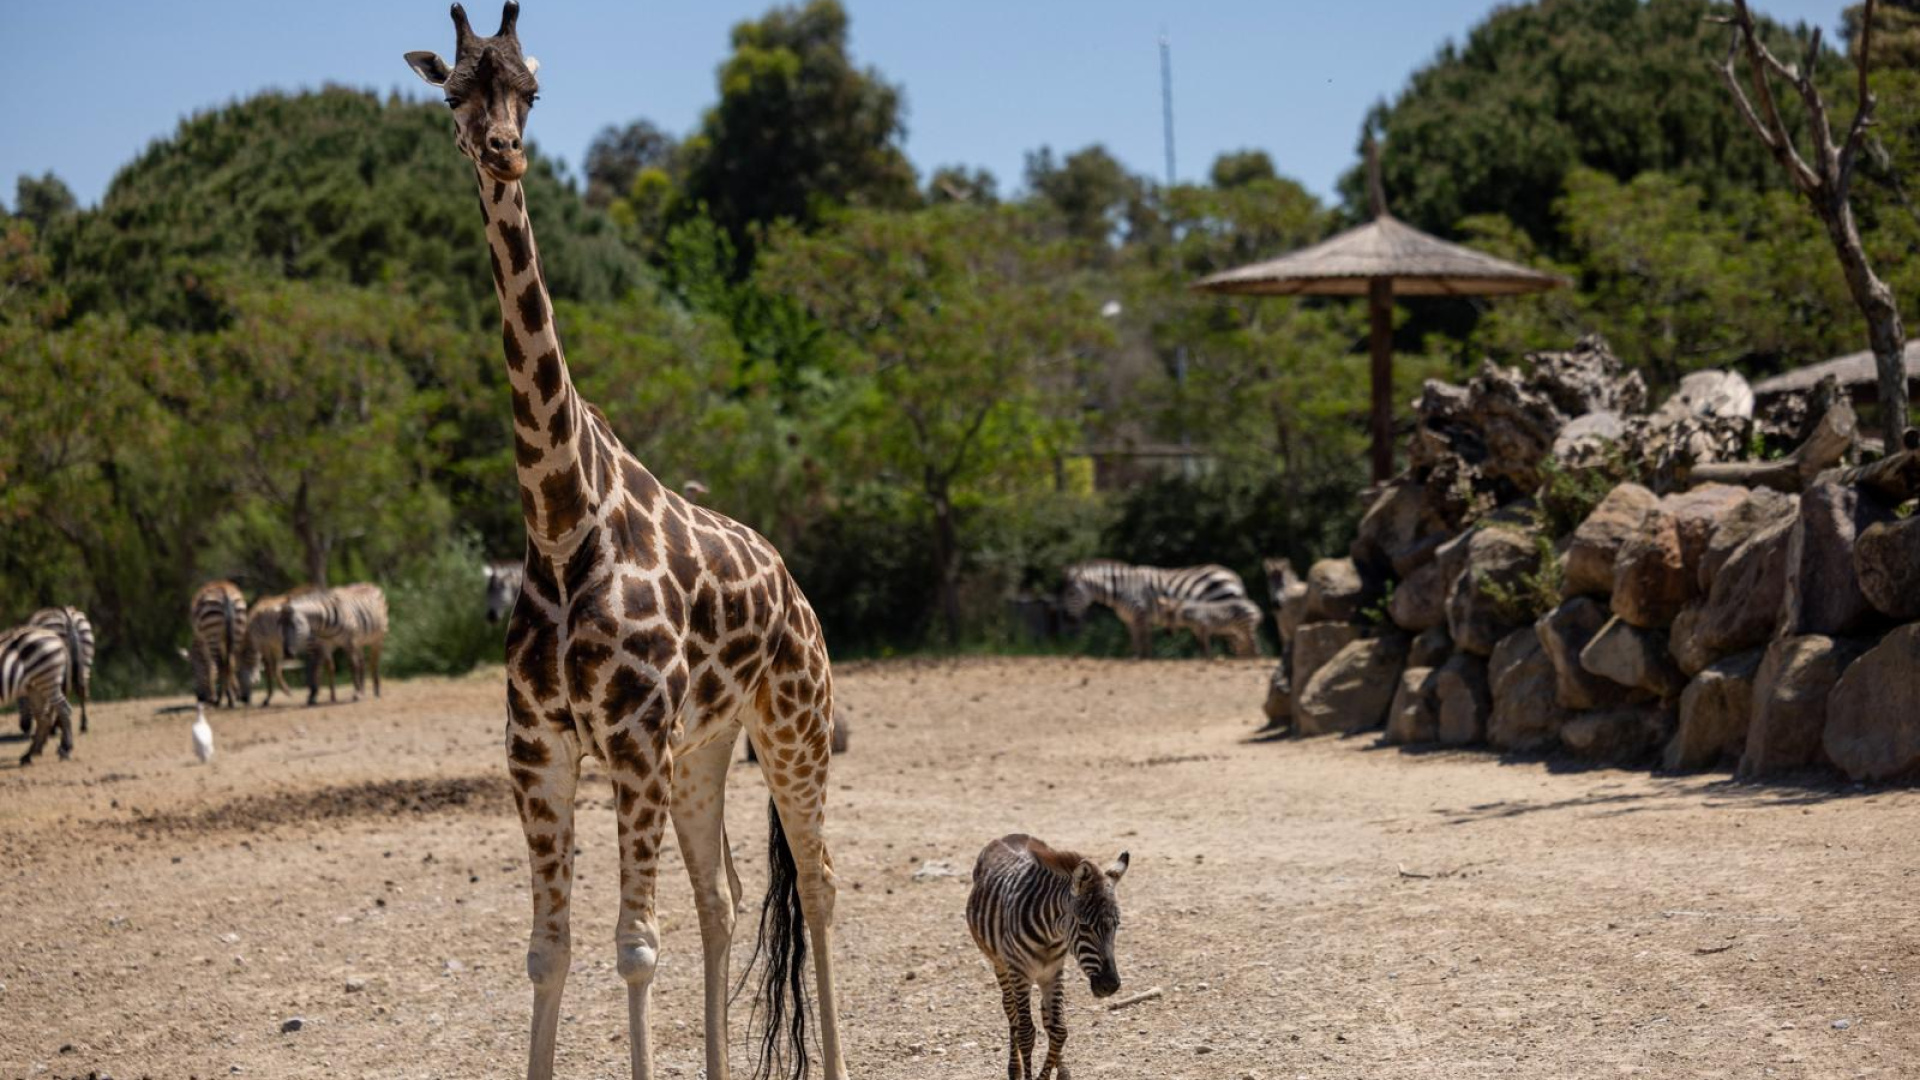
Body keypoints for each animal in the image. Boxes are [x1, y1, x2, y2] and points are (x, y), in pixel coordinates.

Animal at [2, 625, 73, 766]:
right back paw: (29, 754)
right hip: (34, 687)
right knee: (43, 719)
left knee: (63, 710)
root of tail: (55, 635)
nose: (24, 726)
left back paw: (65, 749)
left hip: (47, 680)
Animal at [15, 607, 93, 735]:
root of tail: (67, 616)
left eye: (19, 701)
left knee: (61, 692)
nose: (24, 727)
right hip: (85, 659)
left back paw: (55, 727)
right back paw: (83, 725)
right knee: (80, 689)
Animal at [966, 833, 1129, 1080]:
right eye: (1084, 926)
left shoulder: (1053, 971)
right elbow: (1026, 1032)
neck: (1050, 935)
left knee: (1046, 1018)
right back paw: (1014, 1069)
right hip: (1000, 964)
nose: (1110, 985)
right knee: (1011, 1010)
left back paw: (1061, 1070)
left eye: (1116, 925)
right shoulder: (1020, 972)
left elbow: (1059, 1030)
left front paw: (1055, 1071)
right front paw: (1029, 1075)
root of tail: (1006, 836)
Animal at [1059, 559, 1250, 658]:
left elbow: (1145, 643)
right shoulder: (1130, 620)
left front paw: (1146, 660)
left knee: (1239, 640)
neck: (1120, 588)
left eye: (1071, 593)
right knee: (1238, 640)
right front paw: (1136, 658)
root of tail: (1233, 576)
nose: (1068, 620)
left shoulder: (1141, 615)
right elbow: (1136, 643)